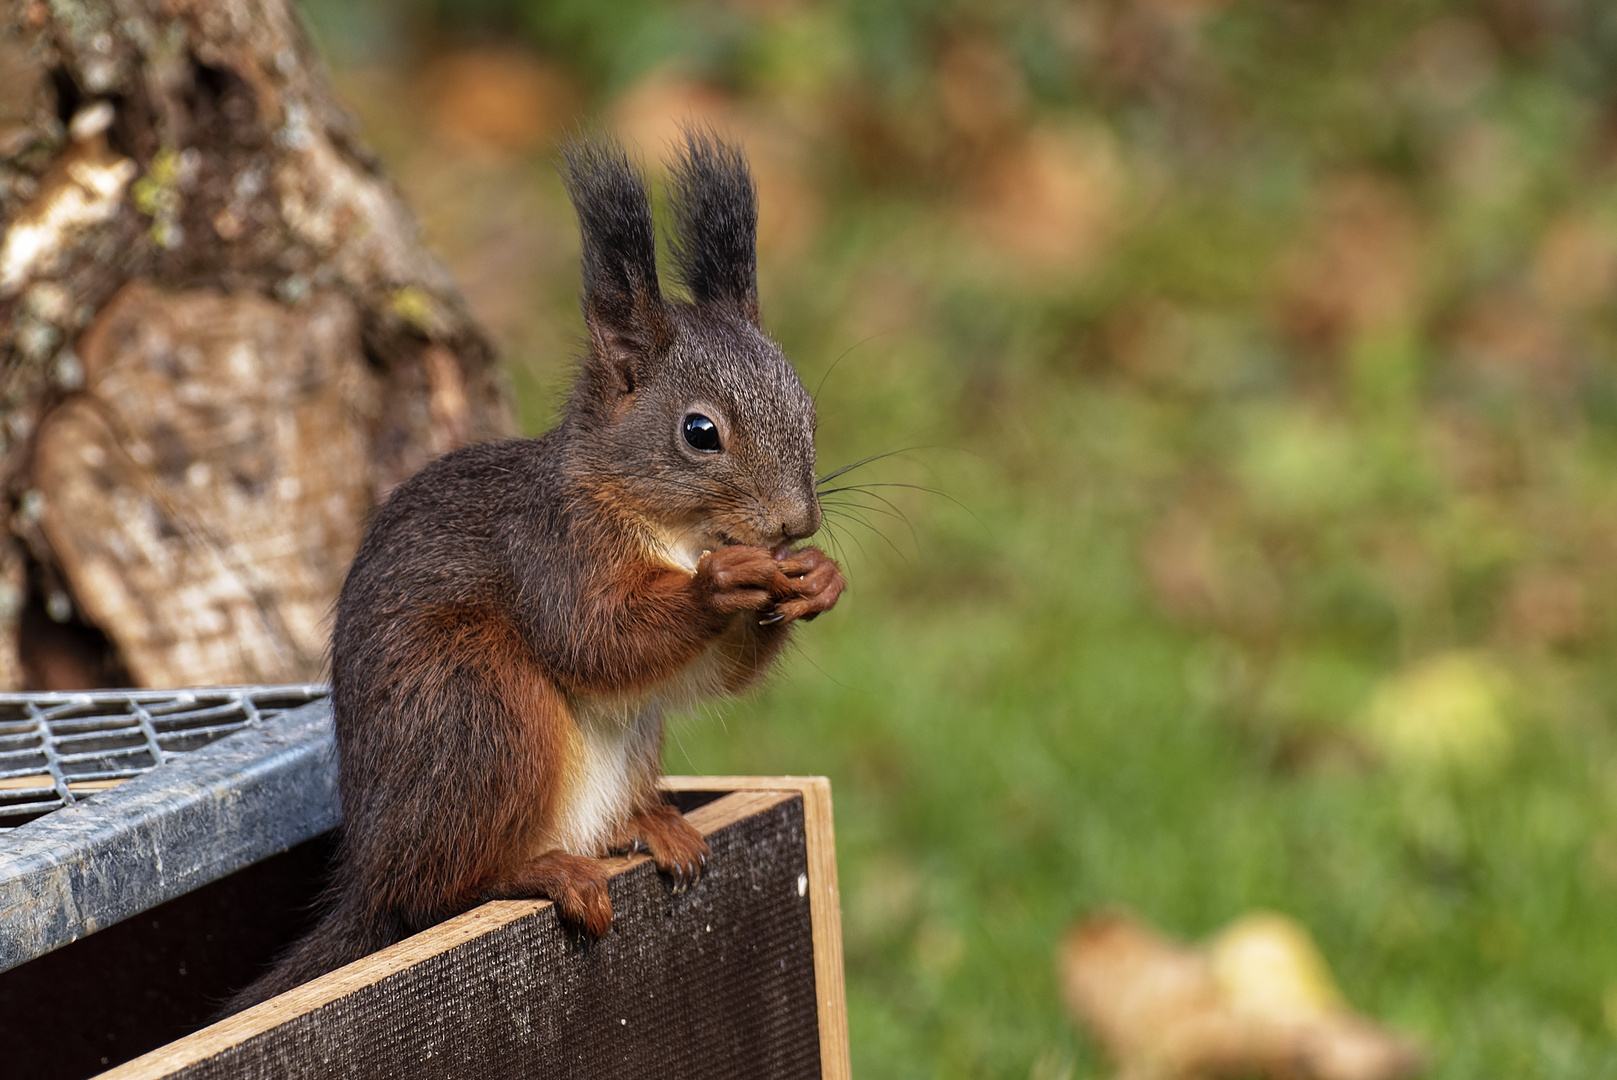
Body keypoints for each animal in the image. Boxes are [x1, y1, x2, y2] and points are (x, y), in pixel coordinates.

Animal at [234, 132, 853, 1015]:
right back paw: (542, 870)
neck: (673, 534)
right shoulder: (551, 549)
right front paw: (719, 587)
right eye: (700, 432)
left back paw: (644, 827)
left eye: (807, 411)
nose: (796, 524)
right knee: (440, 889)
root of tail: (372, 871)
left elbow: (706, 675)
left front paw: (818, 579)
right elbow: (592, 639)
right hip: (478, 703)